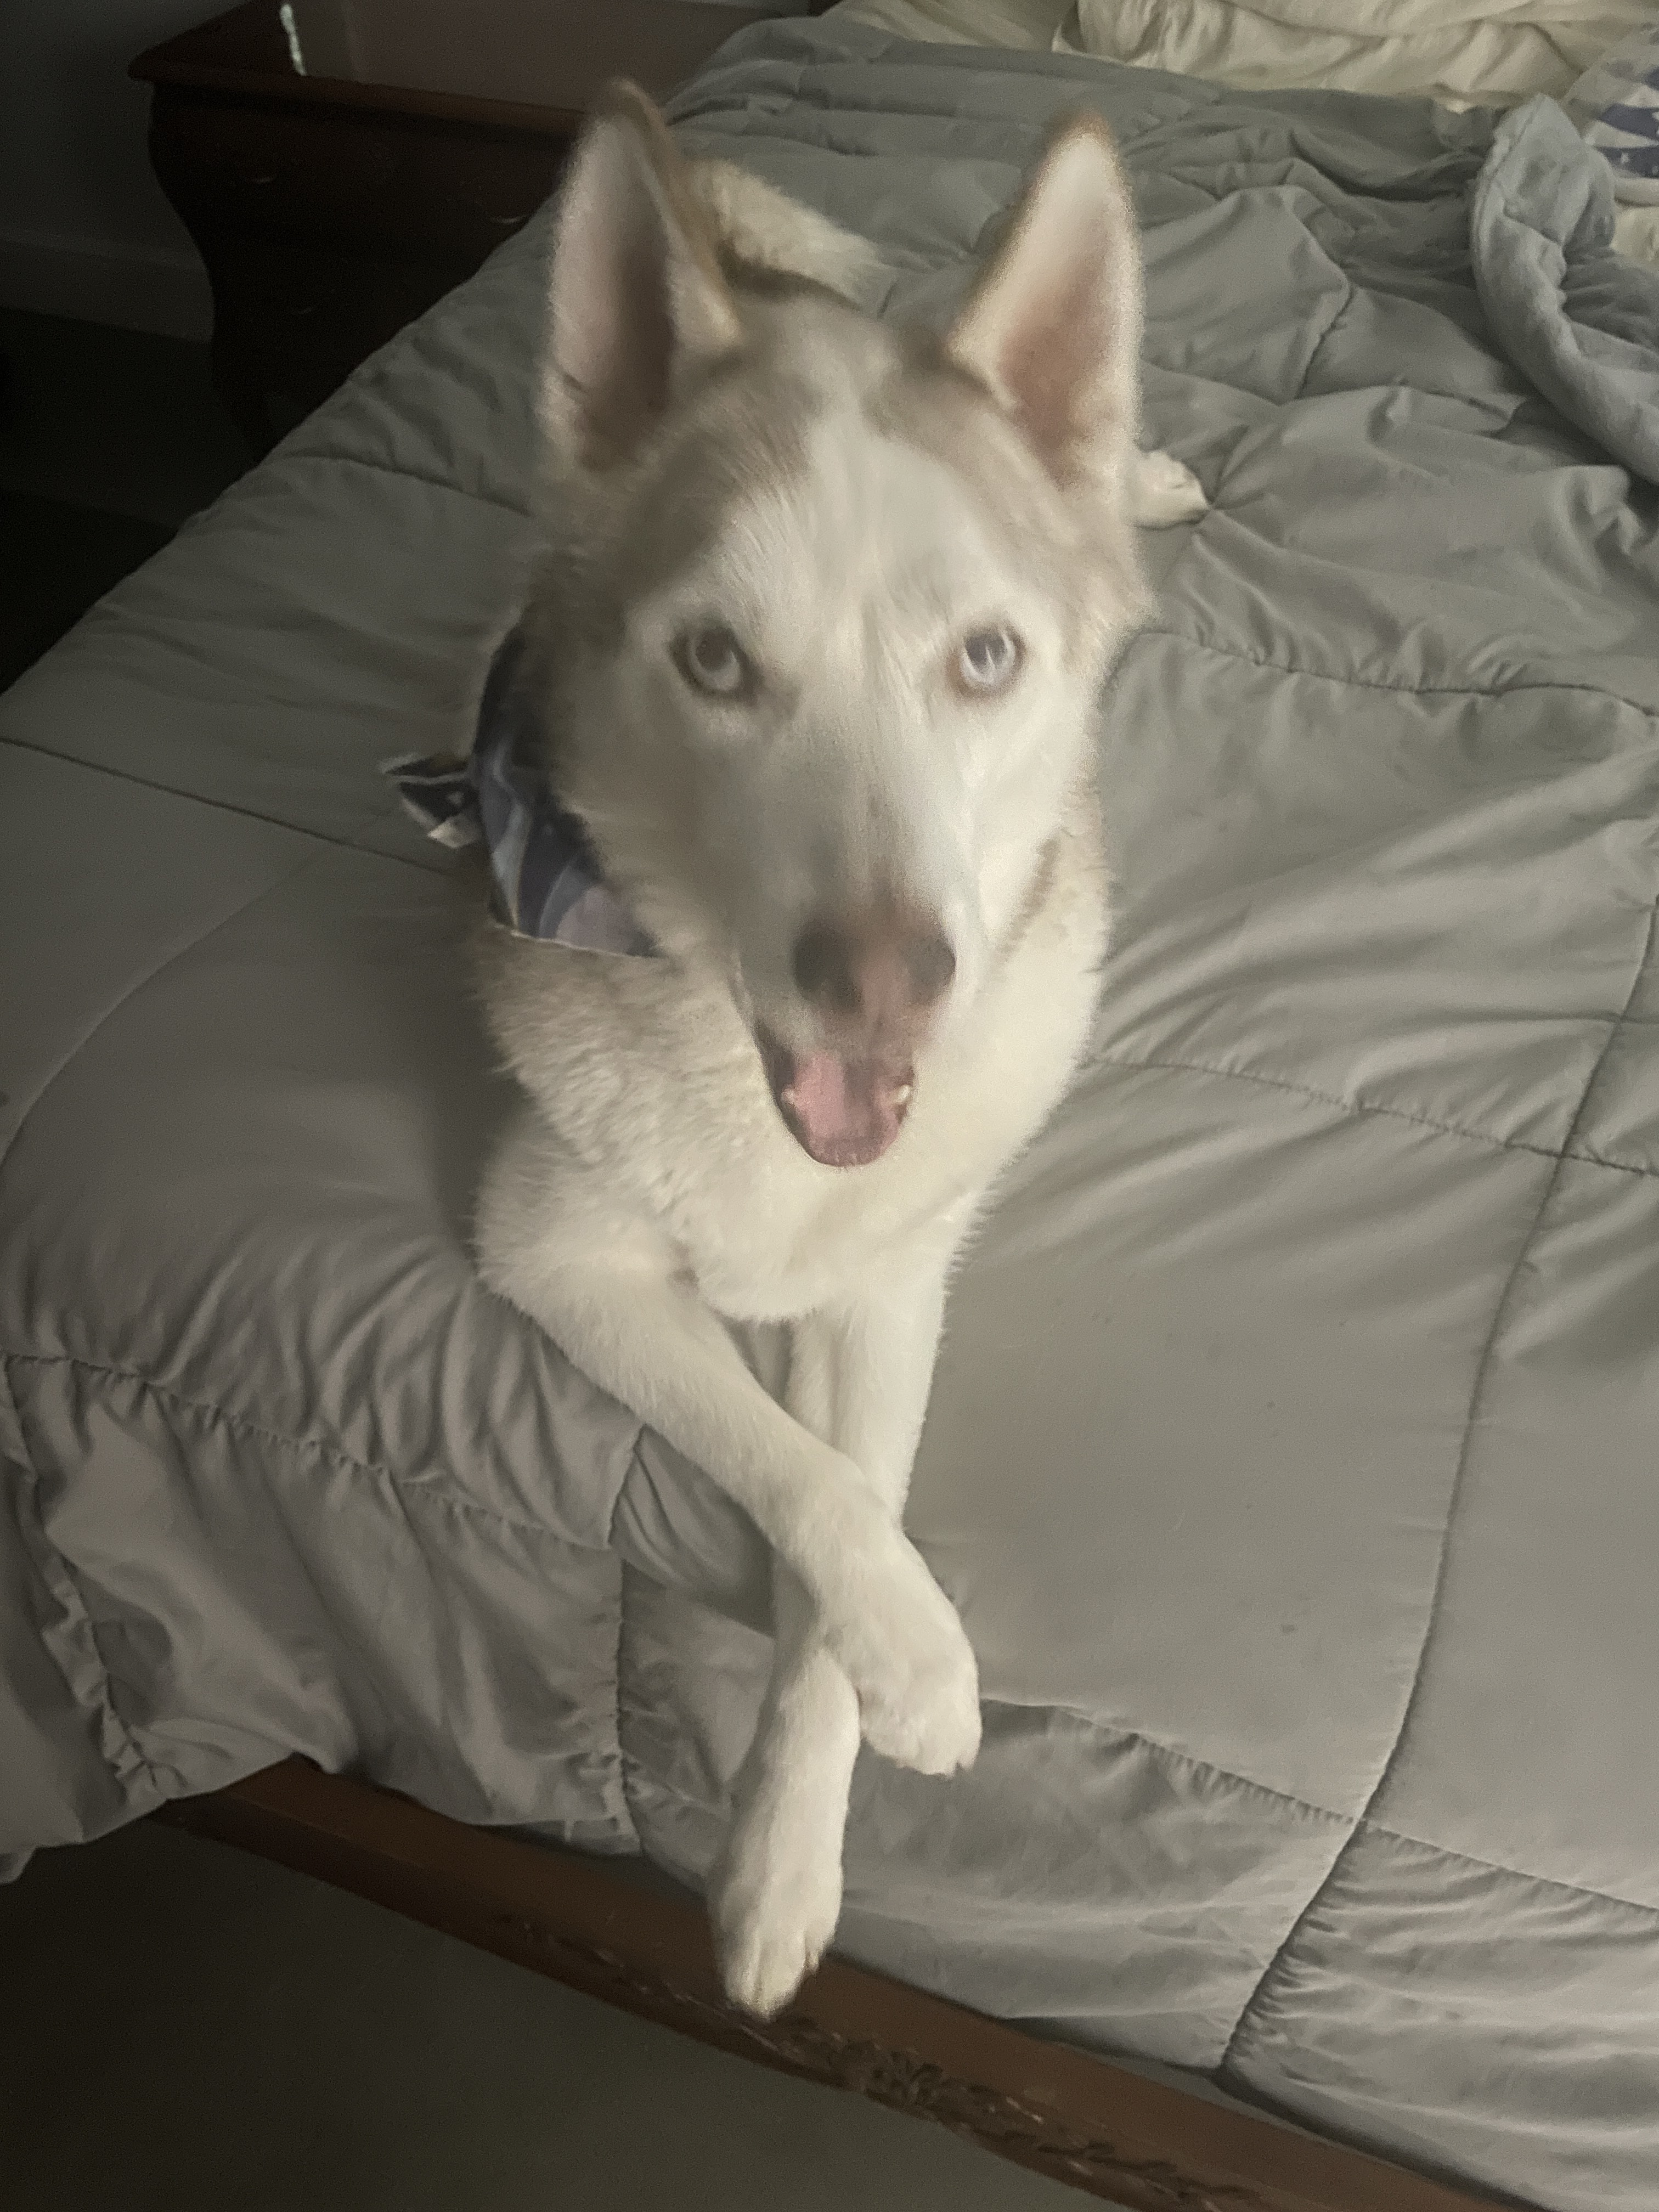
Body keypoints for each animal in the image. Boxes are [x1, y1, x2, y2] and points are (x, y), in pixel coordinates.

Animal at [477, 86, 1212, 2026]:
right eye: (716, 661)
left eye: (987, 659)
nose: (889, 987)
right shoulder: (551, 1250)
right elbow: (798, 1478)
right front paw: (914, 1655)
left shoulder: (890, 1282)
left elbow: (842, 1499)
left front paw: (799, 1829)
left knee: (1098, 469)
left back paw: (1142, 483)